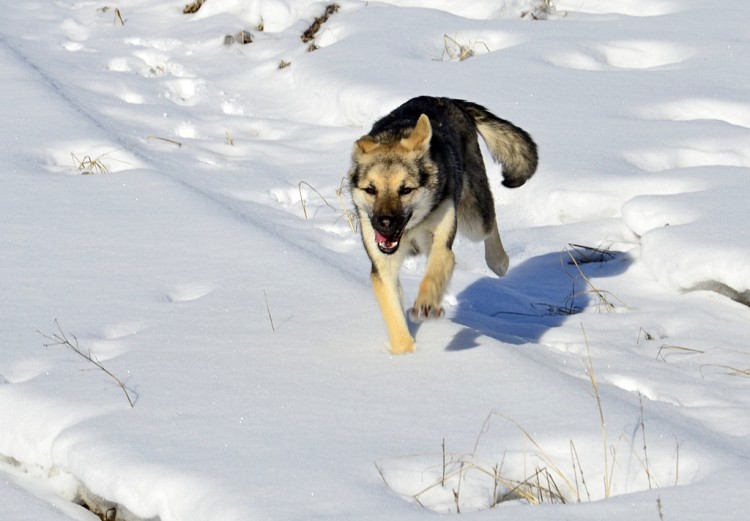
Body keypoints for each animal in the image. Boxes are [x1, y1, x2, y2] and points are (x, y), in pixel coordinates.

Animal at [350, 96, 536, 354]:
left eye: (405, 190)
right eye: (371, 190)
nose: (385, 224)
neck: (412, 228)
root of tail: (449, 100)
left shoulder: (442, 246)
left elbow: (433, 275)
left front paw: (426, 305)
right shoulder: (383, 267)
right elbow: (395, 318)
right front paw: (404, 354)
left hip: (472, 220)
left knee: (490, 223)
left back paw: (499, 261)